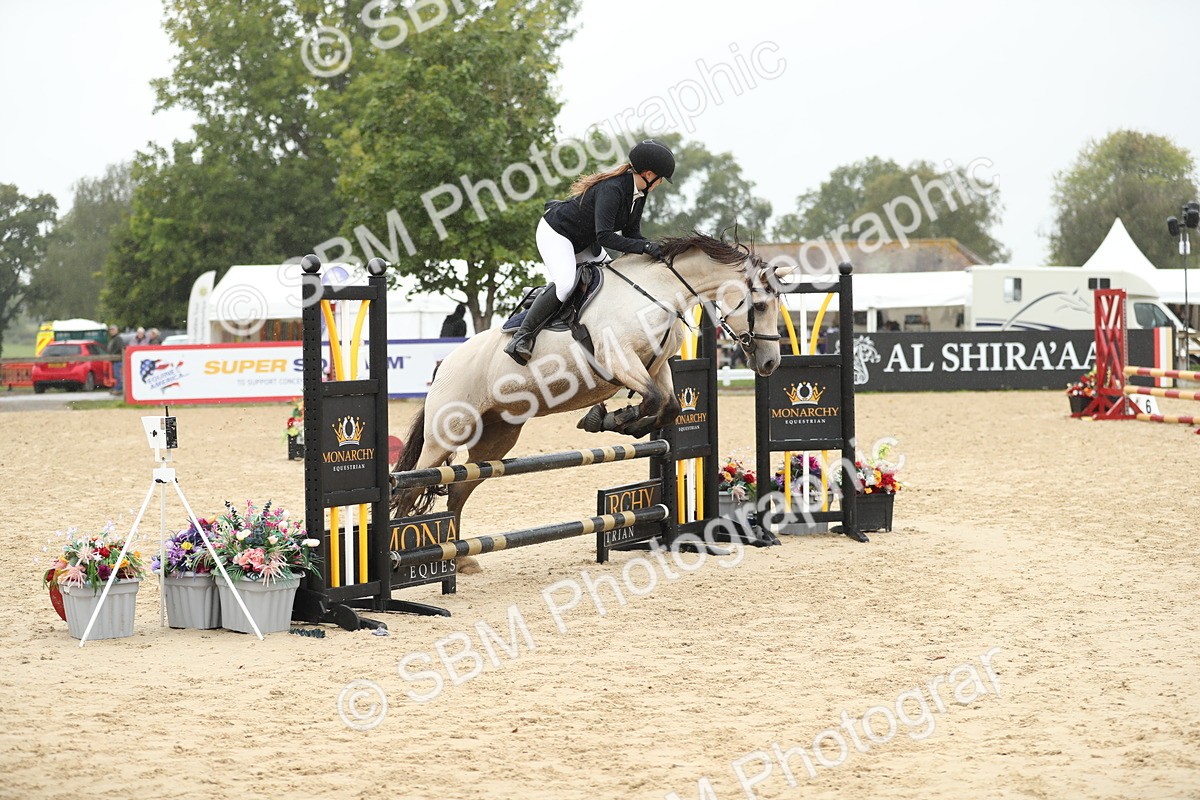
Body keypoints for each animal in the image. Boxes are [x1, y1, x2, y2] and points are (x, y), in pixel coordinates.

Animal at [391, 231, 794, 572]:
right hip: (446, 435)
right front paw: (606, 418)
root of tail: (445, 364)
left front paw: (614, 420)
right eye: (760, 306)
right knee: (410, 487)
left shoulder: (658, 366)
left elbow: (668, 406)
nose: (770, 363)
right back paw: (403, 559)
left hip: (496, 439)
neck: (659, 292)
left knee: (458, 492)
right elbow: (651, 400)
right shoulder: (621, 361)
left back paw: (460, 560)